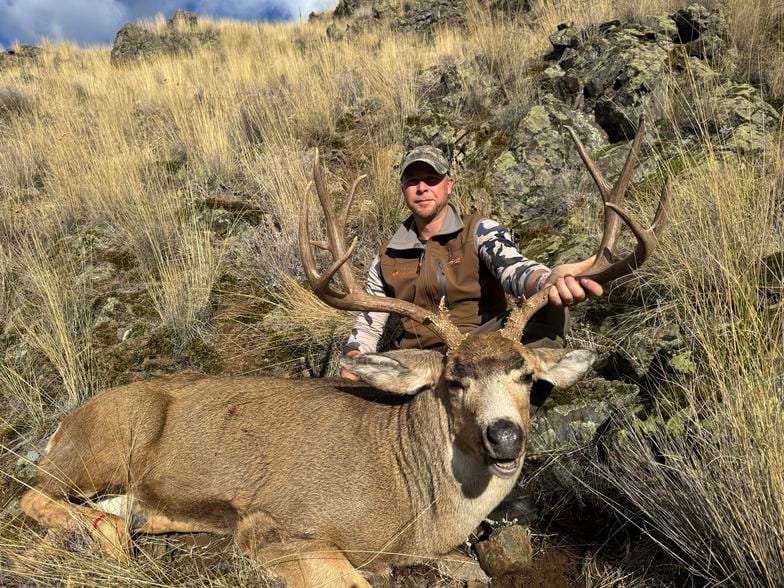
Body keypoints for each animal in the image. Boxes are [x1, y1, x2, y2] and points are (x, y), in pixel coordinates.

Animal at [18, 116, 667, 587]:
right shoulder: (273, 522)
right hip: (99, 448)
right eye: (452, 381)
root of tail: (59, 426)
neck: (412, 500)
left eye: (528, 377)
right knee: (32, 499)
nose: (504, 436)